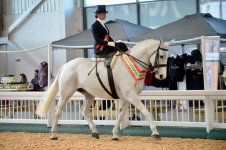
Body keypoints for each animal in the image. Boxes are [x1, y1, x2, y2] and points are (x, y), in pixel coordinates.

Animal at [35, 38, 170, 141]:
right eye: (161, 56)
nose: (162, 76)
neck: (132, 65)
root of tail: (66, 65)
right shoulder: (131, 95)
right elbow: (146, 111)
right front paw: (155, 133)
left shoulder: (125, 97)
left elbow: (120, 115)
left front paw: (114, 135)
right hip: (66, 93)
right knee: (58, 111)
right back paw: (54, 134)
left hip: (89, 95)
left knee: (84, 111)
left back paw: (94, 132)